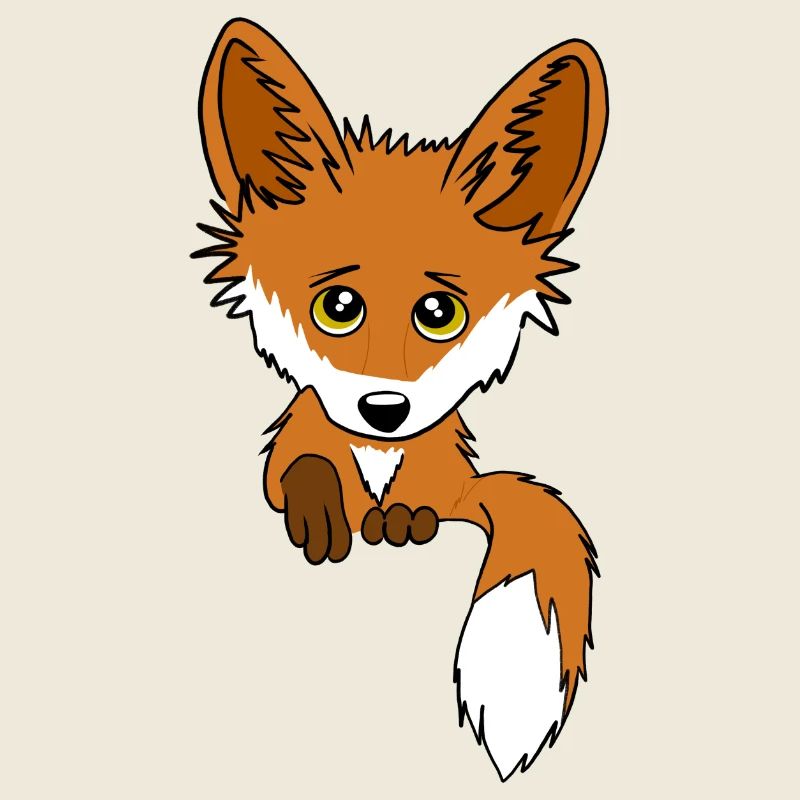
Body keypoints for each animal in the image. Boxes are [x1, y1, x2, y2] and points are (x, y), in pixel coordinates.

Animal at [192, 18, 607, 781]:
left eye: (439, 313)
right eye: (338, 307)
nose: (384, 411)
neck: (376, 457)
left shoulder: (450, 476)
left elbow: (432, 499)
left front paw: (402, 518)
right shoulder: (293, 444)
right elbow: (299, 469)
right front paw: (323, 511)